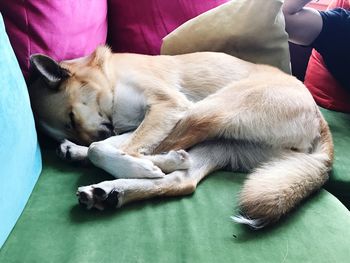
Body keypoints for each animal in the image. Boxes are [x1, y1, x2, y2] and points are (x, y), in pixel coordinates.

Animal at [28, 46, 334, 230]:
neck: (109, 77)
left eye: (71, 118)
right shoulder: (139, 123)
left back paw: (157, 164)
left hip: (208, 111)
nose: (76, 139)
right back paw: (109, 189)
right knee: (181, 182)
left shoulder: (168, 107)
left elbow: (105, 148)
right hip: (219, 143)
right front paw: (84, 150)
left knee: (170, 155)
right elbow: (100, 146)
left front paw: (139, 163)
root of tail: (320, 121)